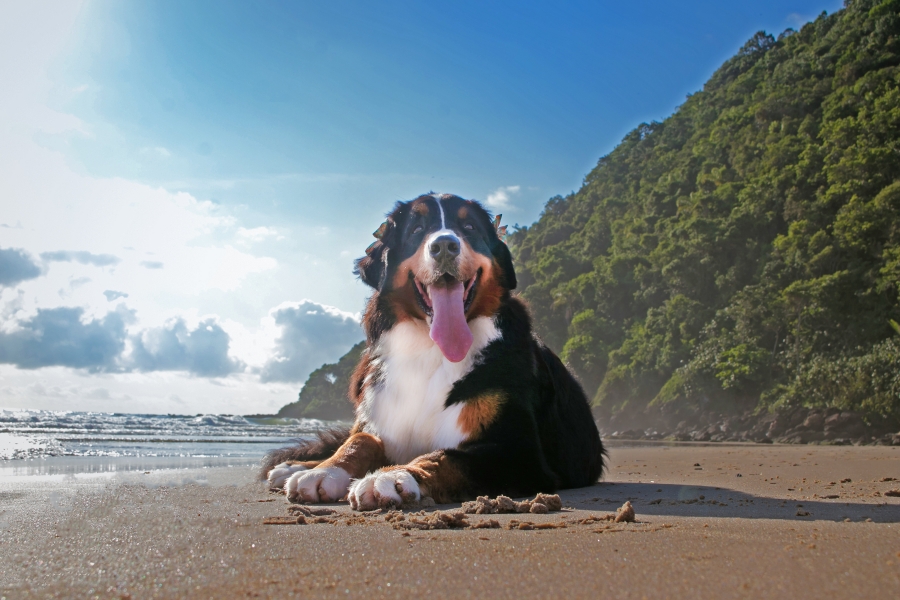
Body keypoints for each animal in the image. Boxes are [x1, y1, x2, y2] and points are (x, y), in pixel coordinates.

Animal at [264, 193, 608, 510]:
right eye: (417, 229)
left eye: (469, 226)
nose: (444, 246)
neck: (430, 352)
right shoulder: (382, 421)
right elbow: (360, 440)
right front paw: (324, 471)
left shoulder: (520, 452)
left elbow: (443, 457)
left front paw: (391, 476)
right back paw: (293, 467)